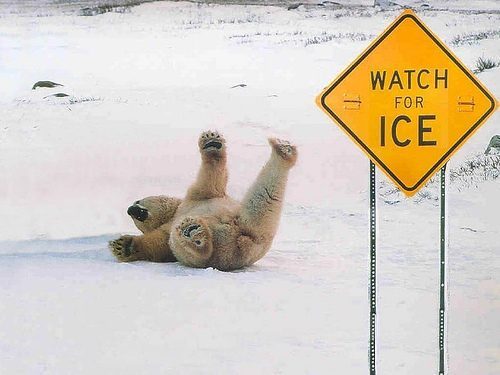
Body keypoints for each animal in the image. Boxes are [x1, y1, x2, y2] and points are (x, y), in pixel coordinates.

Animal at [108, 131, 296, 272]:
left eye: (138, 202)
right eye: (136, 216)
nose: (131, 210)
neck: (176, 210)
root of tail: (244, 243)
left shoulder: (196, 196)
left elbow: (210, 180)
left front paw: (212, 142)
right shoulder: (177, 218)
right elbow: (160, 244)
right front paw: (123, 246)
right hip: (247, 227)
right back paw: (195, 234)